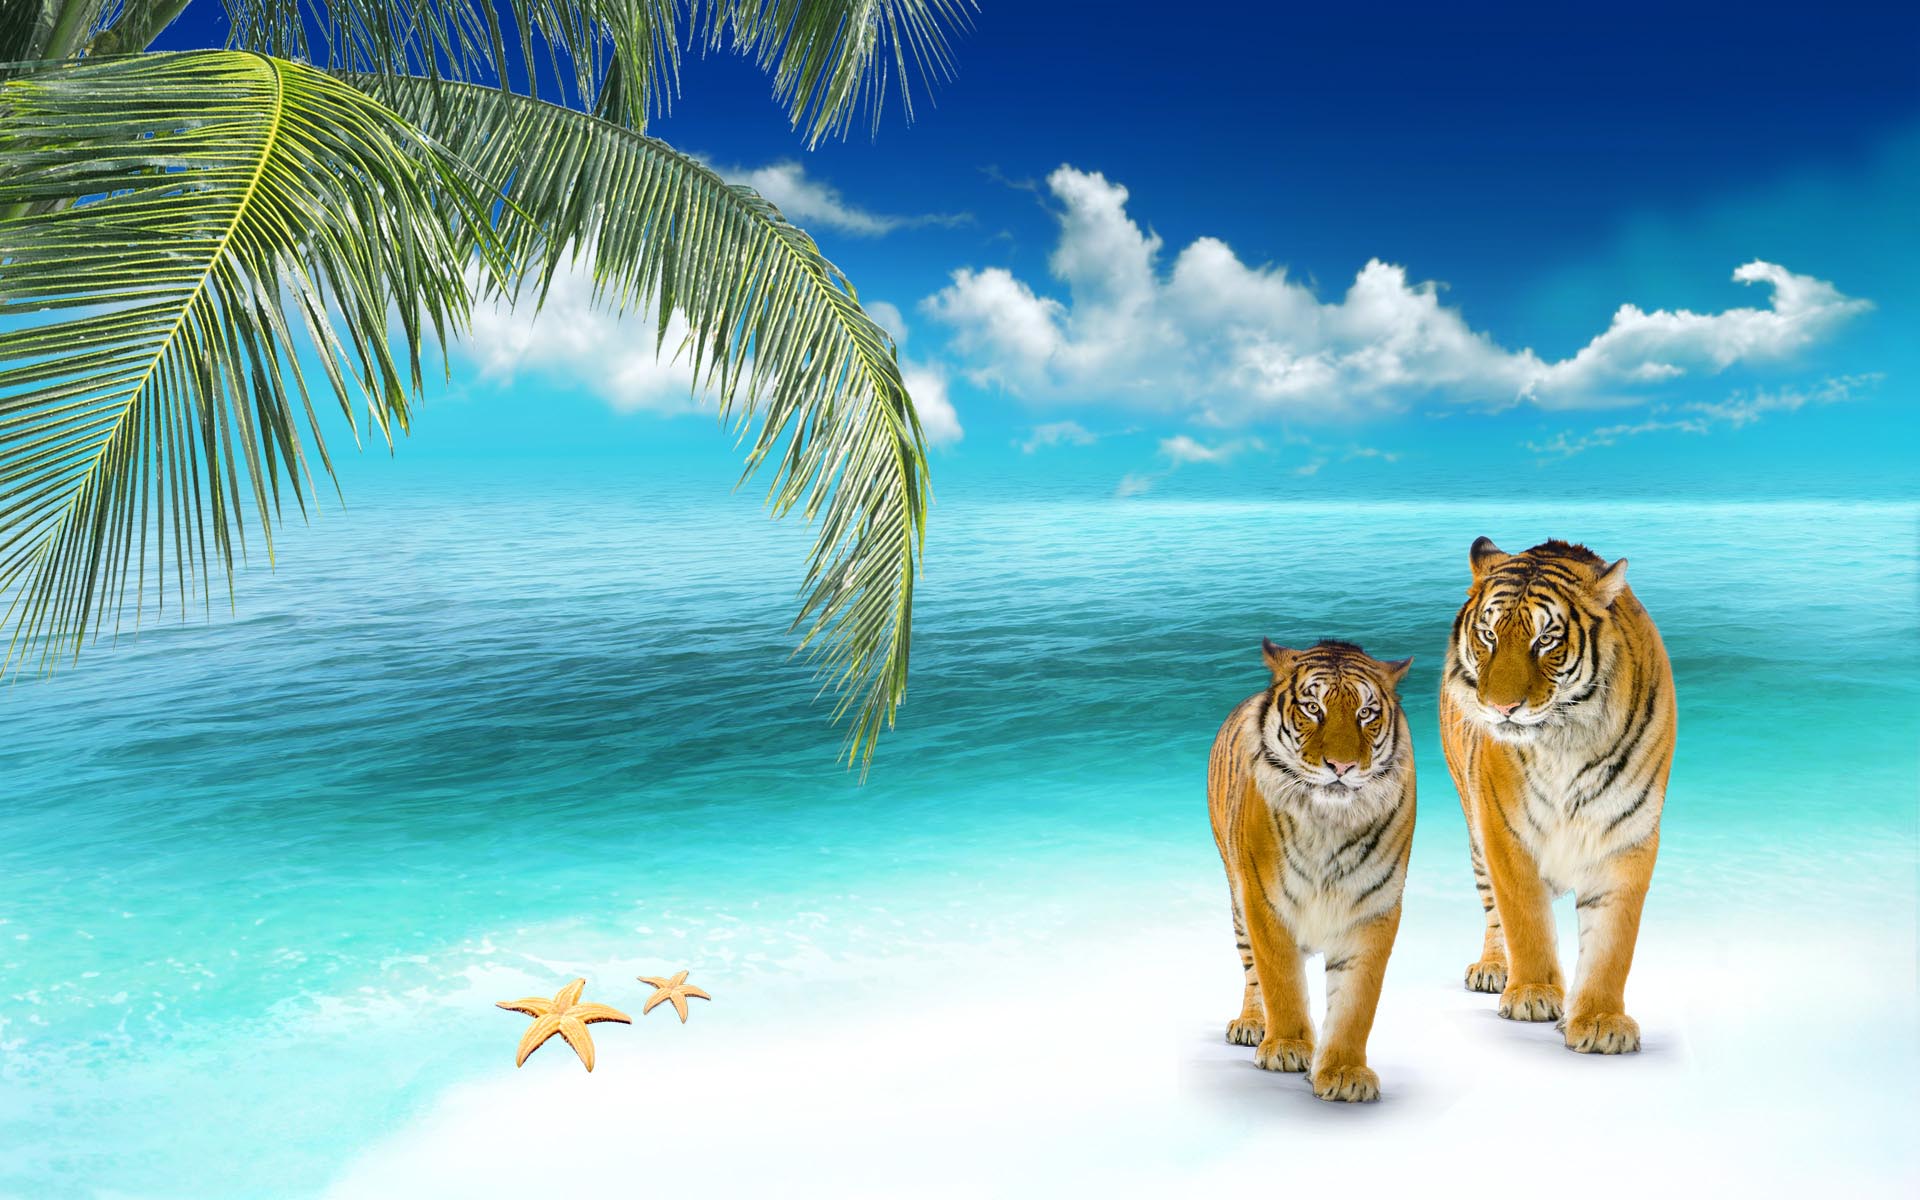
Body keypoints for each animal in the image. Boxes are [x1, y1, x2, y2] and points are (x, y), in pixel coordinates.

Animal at [1208, 637, 1416, 1103]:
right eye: (1312, 708)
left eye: (1366, 713)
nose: (1341, 767)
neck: (1329, 823)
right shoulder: (1265, 903)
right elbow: (1280, 980)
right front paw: (1286, 1048)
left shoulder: (1374, 909)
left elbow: (1356, 1002)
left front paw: (1343, 1071)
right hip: (1236, 897)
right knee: (1252, 971)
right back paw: (1252, 1025)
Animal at [1440, 537, 1676, 1054]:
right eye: (1488, 635)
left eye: (1545, 640)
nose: (1501, 708)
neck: (1567, 739)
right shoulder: (1504, 831)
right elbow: (1524, 917)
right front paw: (1532, 993)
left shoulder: (1626, 835)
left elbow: (1612, 942)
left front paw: (1601, 1020)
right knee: (1493, 910)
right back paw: (1493, 970)